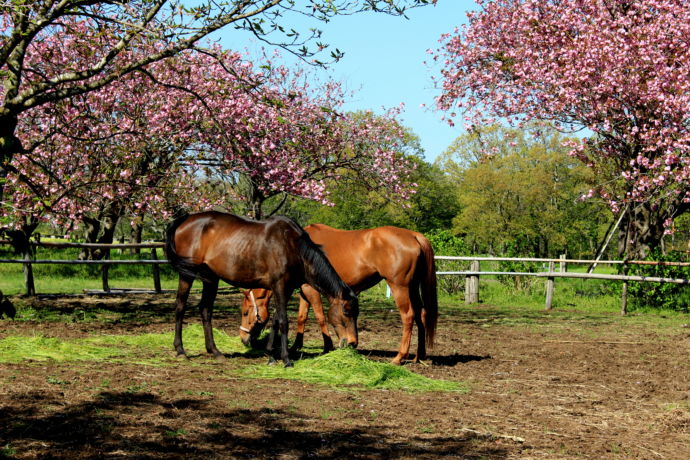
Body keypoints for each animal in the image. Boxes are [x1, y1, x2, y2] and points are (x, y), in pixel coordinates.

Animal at [165, 212, 358, 366]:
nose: (353, 343)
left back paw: (215, 351)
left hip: (210, 278)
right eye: (346, 312)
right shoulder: (280, 286)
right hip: (187, 275)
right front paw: (286, 359)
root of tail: (186, 220)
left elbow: (275, 320)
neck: (292, 246)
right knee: (180, 307)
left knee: (205, 310)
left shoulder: (286, 289)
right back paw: (180, 351)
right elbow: (283, 322)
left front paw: (271, 355)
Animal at [239, 225, 438, 364]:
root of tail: (414, 235)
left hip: (400, 288)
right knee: (421, 314)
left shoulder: (311, 290)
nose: (243, 339)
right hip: (413, 288)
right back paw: (418, 356)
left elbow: (319, 316)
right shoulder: (303, 290)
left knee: (408, 316)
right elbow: (302, 317)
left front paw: (327, 347)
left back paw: (399, 357)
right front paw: (296, 346)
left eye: (245, 312)